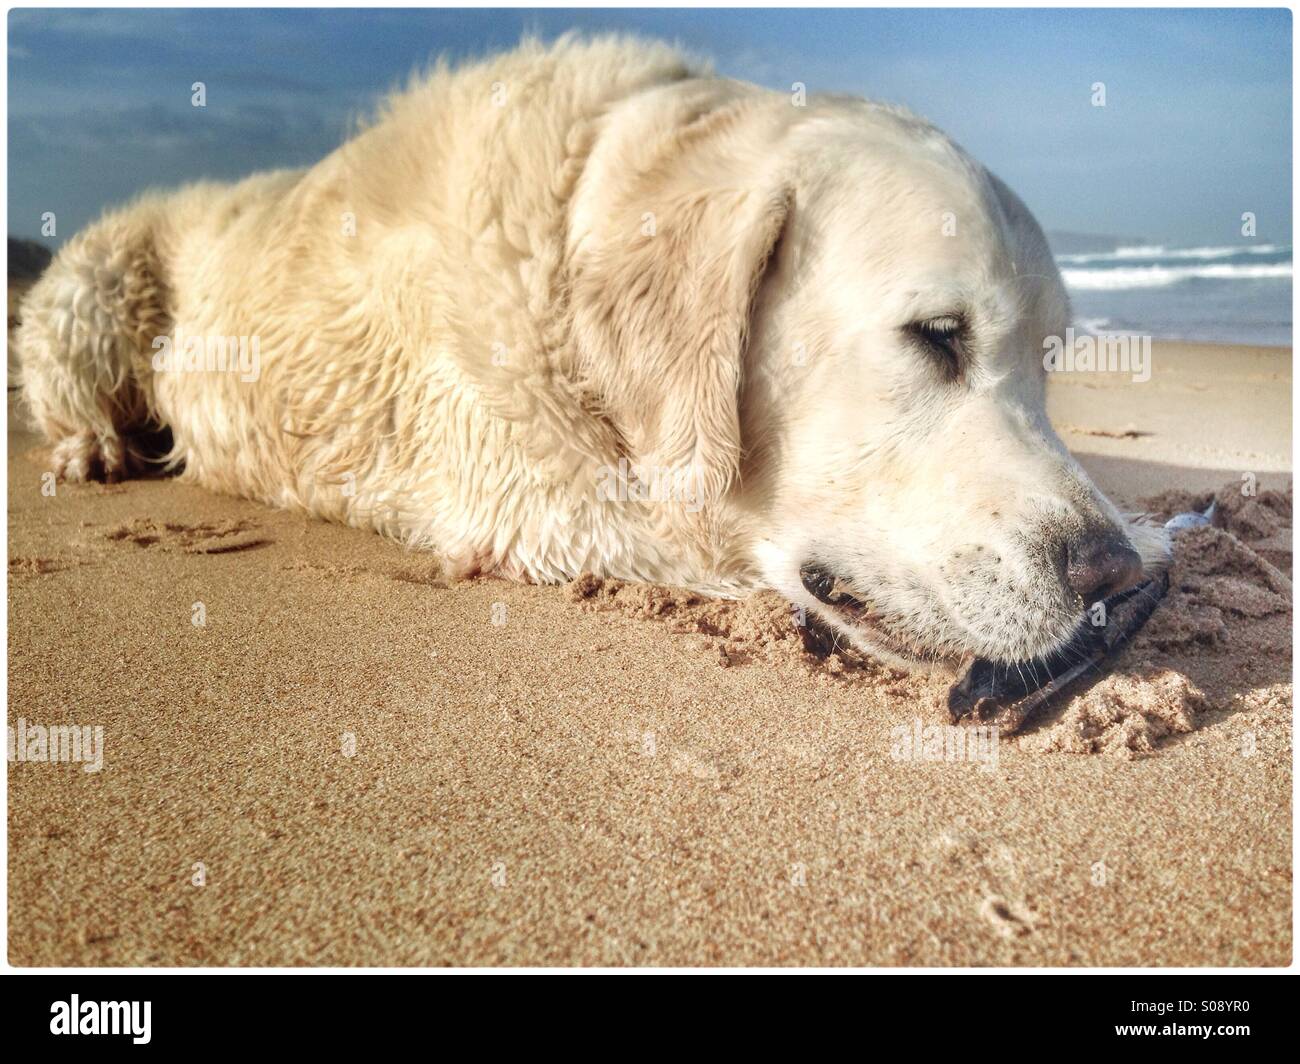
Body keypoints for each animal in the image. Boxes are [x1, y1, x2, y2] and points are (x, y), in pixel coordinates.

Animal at [15, 37, 1164, 665]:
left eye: (1049, 362)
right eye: (935, 337)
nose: (1101, 572)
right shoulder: (540, 501)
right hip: (89, 287)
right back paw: (92, 449)